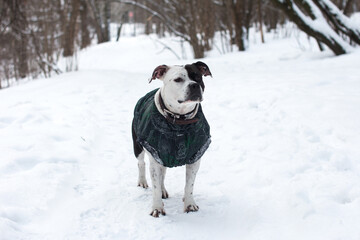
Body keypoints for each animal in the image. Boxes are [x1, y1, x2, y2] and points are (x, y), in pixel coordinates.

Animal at [131, 60, 211, 218]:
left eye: (197, 77)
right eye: (178, 79)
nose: (194, 85)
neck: (179, 121)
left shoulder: (195, 158)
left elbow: (189, 185)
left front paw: (189, 204)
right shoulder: (154, 154)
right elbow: (155, 186)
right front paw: (157, 208)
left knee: (162, 174)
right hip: (139, 146)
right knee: (141, 163)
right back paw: (142, 181)